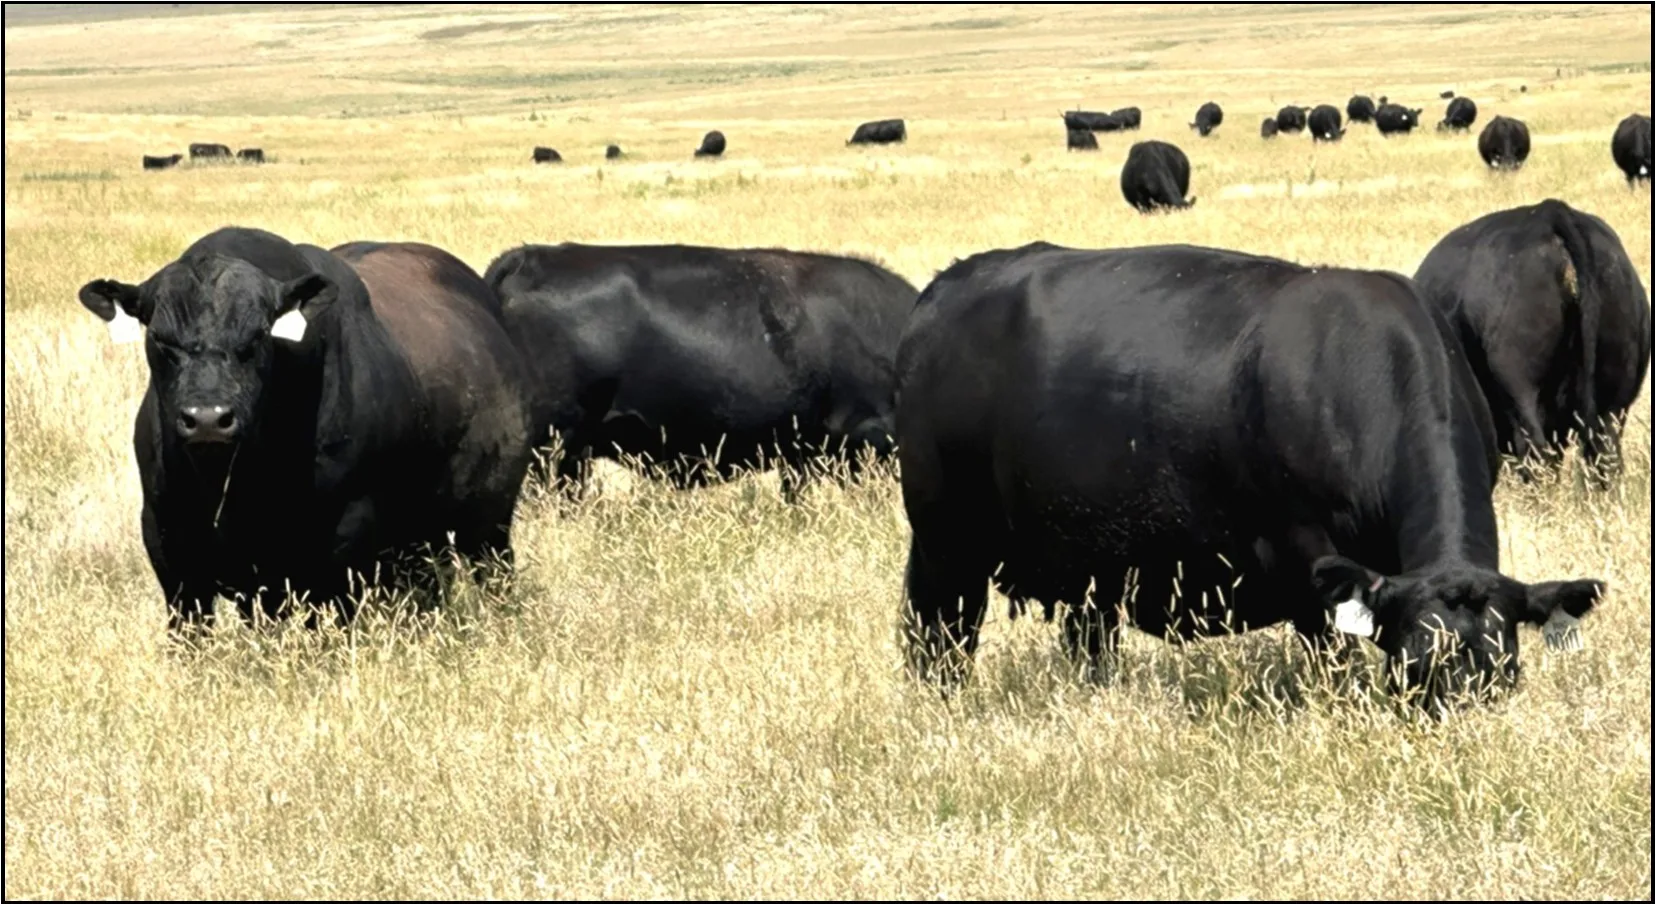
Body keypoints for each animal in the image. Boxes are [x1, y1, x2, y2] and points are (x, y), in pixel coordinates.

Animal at [76, 228, 536, 630]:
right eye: (159, 337)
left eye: (258, 335)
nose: (208, 418)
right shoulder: (171, 546)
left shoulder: (341, 543)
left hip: (490, 520)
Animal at [896, 241, 1604, 704]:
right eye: (1414, 670)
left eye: (1504, 673)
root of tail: (947, 286)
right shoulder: (1306, 557)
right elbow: (1333, 659)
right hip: (945, 543)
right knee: (938, 637)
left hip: (1088, 561)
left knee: (1087, 638)